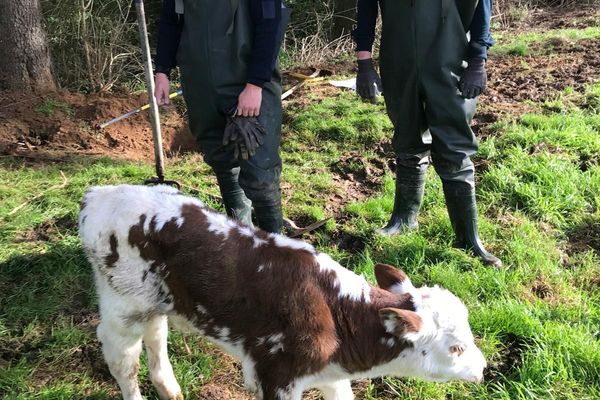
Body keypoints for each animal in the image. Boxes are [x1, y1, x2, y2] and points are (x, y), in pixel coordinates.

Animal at [78, 184, 488, 400]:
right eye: (456, 348)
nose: (483, 368)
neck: (338, 315)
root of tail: (101, 194)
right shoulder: (275, 377)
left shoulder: (330, 374)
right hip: (122, 306)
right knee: (122, 359)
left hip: (156, 301)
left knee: (156, 335)